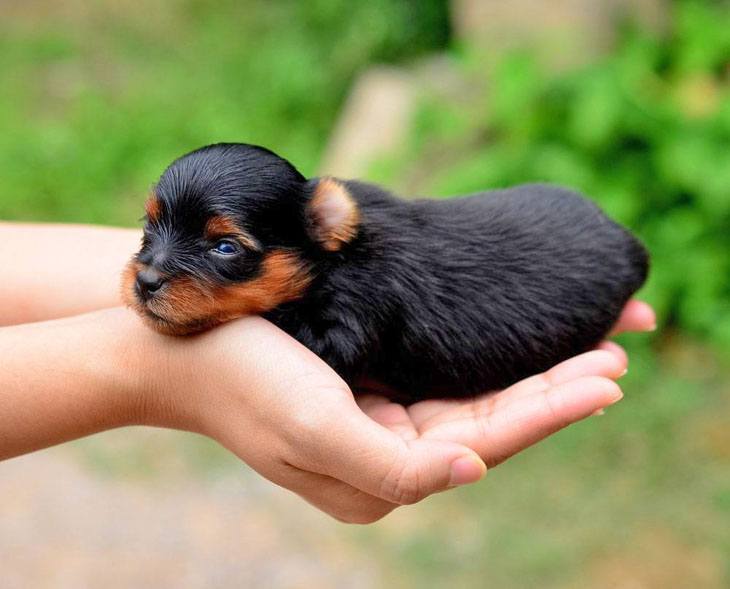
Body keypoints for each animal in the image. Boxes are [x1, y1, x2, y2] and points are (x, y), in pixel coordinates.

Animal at [121, 141, 648, 404]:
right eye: (149, 226)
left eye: (225, 248)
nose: (145, 282)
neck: (330, 263)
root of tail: (628, 241)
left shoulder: (356, 317)